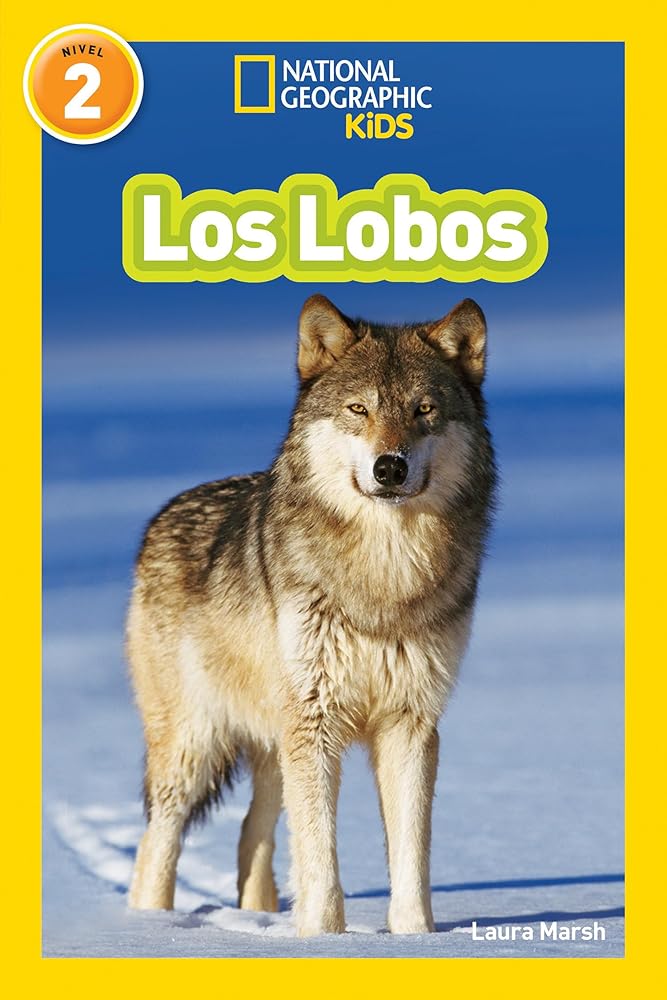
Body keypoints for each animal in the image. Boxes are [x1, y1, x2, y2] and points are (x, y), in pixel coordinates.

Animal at [126, 294, 496, 937]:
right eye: (358, 409)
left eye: (424, 410)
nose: (390, 467)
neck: (383, 575)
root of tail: (162, 514)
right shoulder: (316, 723)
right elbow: (320, 857)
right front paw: (323, 939)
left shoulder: (409, 724)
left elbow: (410, 854)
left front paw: (416, 938)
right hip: (194, 745)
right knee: (157, 842)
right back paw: (150, 929)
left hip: (274, 747)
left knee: (254, 834)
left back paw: (256, 917)